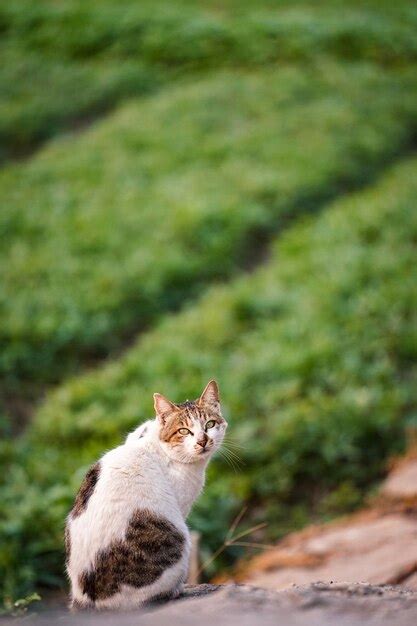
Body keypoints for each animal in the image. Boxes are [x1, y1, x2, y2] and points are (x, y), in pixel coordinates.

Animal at [65, 378, 226, 608]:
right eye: (184, 431)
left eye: (210, 425)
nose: (202, 441)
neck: (156, 442)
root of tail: (87, 598)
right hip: (179, 540)